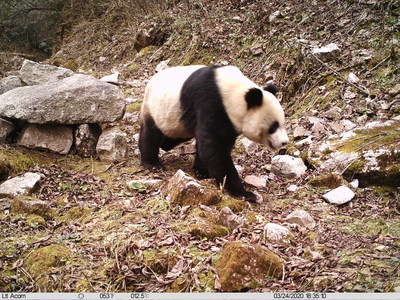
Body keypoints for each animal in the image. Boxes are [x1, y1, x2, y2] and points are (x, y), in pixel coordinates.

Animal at [139, 64, 290, 203]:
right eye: (274, 126)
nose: (284, 142)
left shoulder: (228, 120)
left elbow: (212, 145)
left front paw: (202, 171)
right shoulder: (210, 103)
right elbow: (214, 148)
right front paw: (244, 193)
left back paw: (165, 145)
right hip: (152, 107)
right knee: (150, 133)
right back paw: (152, 163)